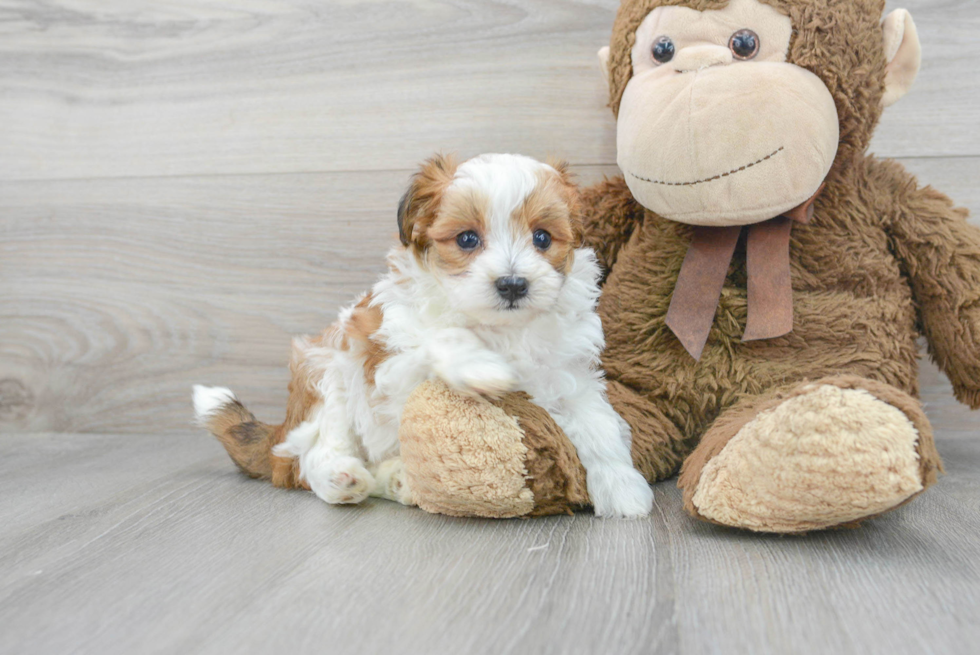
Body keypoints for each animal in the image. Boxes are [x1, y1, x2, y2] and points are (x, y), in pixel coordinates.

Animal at [195, 152, 656, 516]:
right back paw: (342, 478)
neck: (501, 329)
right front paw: (479, 366)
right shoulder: (388, 351)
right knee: (308, 456)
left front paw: (622, 487)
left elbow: (598, 425)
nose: (512, 284)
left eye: (542, 237)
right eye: (467, 238)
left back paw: (398, 480)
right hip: (325, 372)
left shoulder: (569, 376)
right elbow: (442, 336)